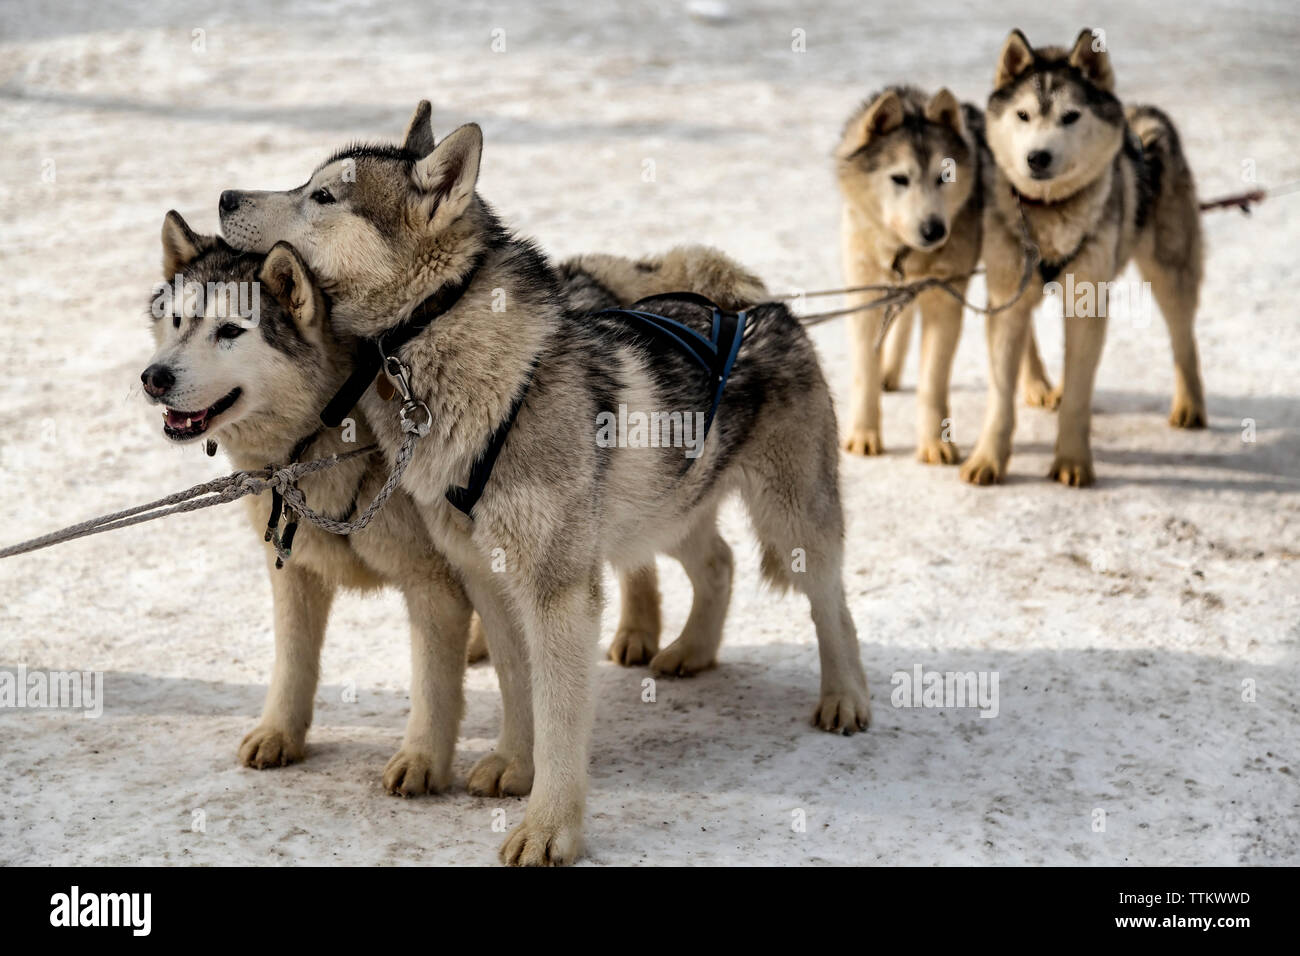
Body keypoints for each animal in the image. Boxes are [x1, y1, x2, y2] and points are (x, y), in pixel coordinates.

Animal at [141, 213, 473, 796]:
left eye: (231, 331)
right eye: (178, 320)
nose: (154, 378)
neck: (318, 447)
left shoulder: (434, 584)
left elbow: (433, 685)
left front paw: (422, 761)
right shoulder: (294, 571)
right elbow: (293, 661)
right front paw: (279, 734)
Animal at [220, 106, 873, 868]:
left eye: (322, 196)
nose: (225, 197)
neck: (490, 384)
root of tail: (759, 302)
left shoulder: (557, 591)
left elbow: (560, 715)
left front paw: (549, 828)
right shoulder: (488, 578)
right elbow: (515, 684)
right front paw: (514, 763)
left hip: (789, 523)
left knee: (831, 604)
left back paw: (845, 696)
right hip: (663, 513)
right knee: (718, 562)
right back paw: (691, 650)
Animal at [837, 87, 977, 463]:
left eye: (945, 176)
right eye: (900, 178)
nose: (934, 230)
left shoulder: (945, 302)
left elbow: (933, 381)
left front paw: (935, 444)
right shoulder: (865, 295)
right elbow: (864, 371)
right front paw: (863, 434)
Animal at [967, 26, 1206, 489]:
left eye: (1070, 117)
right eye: (1023, 115)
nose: (1037, 157)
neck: (1048, 211)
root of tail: (1141, 115)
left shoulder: (1088, 301)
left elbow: (1080, 393)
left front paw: (1072, 461)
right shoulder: (1006, 294)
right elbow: (1000, 395)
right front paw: (988, 459)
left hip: (1169, 270)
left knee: (1182, 337)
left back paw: (1190, 405)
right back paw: (1040, 383)